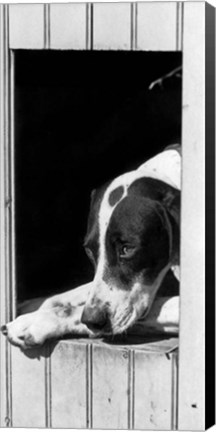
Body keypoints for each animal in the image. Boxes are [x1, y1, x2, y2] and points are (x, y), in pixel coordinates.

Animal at [0, 144, 181, 348]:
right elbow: (81, 290)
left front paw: (37, 321)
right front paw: (36, 303)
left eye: (127, 248)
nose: (93, 320)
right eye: (89, 251)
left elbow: (77, 311)